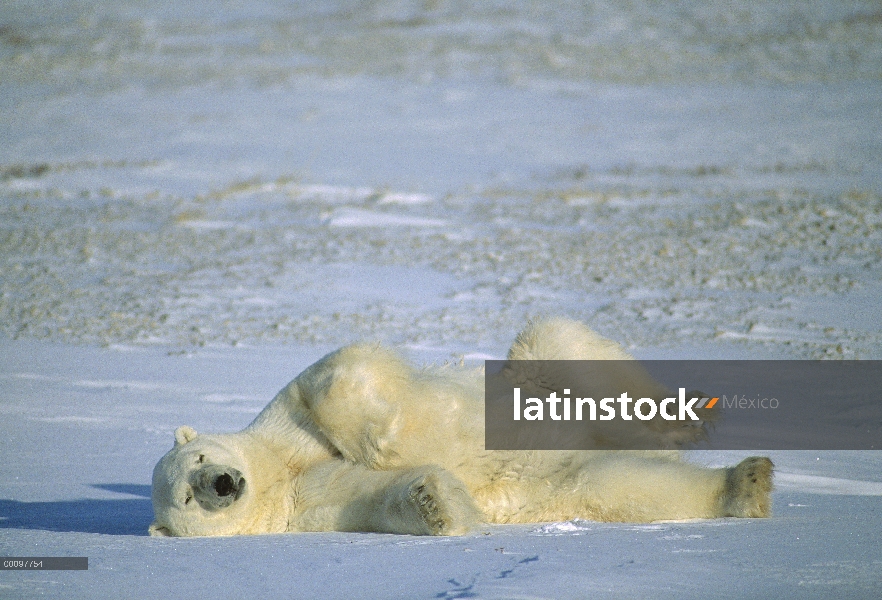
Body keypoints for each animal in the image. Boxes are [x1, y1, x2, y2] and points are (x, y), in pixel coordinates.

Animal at [150, 318, 768, 540]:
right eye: (187, 496)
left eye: (199, 460)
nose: (224, 483)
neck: (277, 471)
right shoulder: (305, 505)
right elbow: (377, 498)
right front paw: (442, 505)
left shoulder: (282, 419)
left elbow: (336, 377)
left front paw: (384, 439)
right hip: (569, 477)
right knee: (627, 485)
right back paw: (745, 485)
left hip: (546, 382)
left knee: (554, 344)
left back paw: (678, 423)